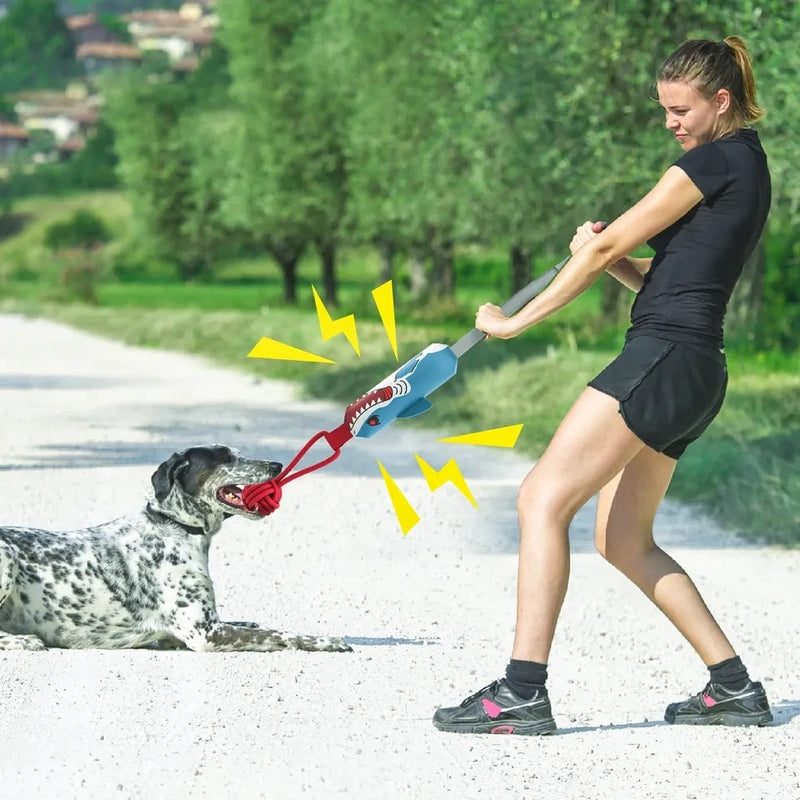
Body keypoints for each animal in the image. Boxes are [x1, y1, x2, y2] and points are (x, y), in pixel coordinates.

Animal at [0, 446, 350, 652]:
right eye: (226, 458)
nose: (276, 464)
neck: (174, 525)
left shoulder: (194, 630)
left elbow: (252, 626)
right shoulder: (206, 634)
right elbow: (282, 635)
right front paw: (327, 640)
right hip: (7, 558)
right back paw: (23, 641)